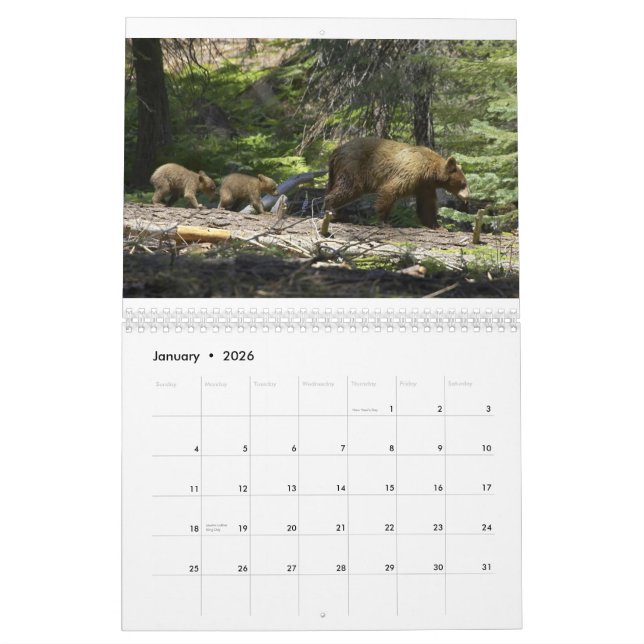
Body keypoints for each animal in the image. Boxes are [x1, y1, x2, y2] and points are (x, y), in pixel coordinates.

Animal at [324, 137, 470, 228]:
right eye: (463, 183)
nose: (468, 197)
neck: (430, 172)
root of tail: (336, 150)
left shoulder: (424, 186)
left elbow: (427, 205)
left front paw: (438, 226)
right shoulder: (411, 173)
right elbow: (390, 191)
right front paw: (384, 221)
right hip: (353, 167)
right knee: (348, 188)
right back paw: (332, 211)